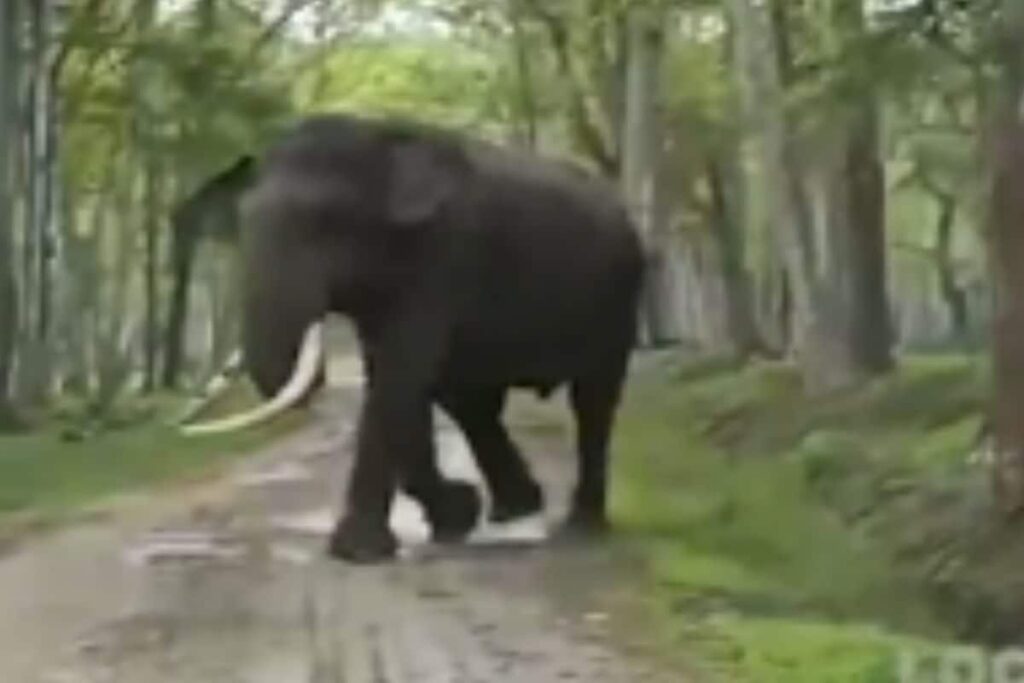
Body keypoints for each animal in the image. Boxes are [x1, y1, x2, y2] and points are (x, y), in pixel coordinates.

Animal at [185, 113, 644, 563]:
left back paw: (579, 529)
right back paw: (513, 509)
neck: (381, 137)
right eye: (241, 224)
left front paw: (359, 551)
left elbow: (397, 379)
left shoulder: (442, 259)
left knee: (593, 400)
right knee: (469, 403)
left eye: (326, 223)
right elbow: (398, 382)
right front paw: (453, 518)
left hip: (617, 298)